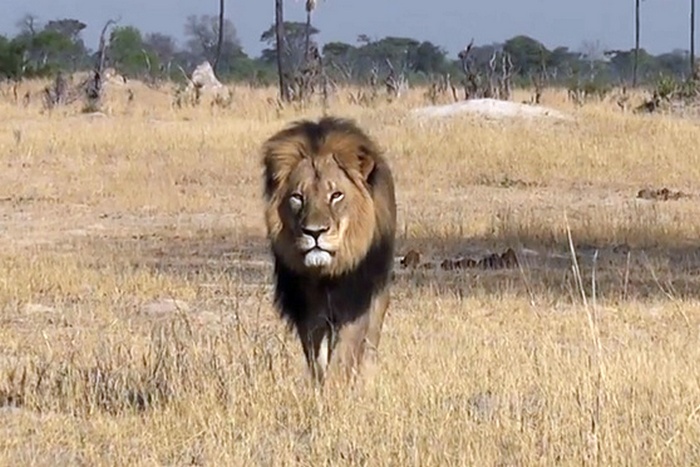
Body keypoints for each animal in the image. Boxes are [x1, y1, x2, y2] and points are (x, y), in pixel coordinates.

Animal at [261, 116, 397, 385]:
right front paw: (320, 386)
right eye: (297, 197)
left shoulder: (356, 302)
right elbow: (317, 357)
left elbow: (345, 354)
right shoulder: (308, 308)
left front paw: (338, 386)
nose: (314, 232)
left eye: (336, 195)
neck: (326, 275)